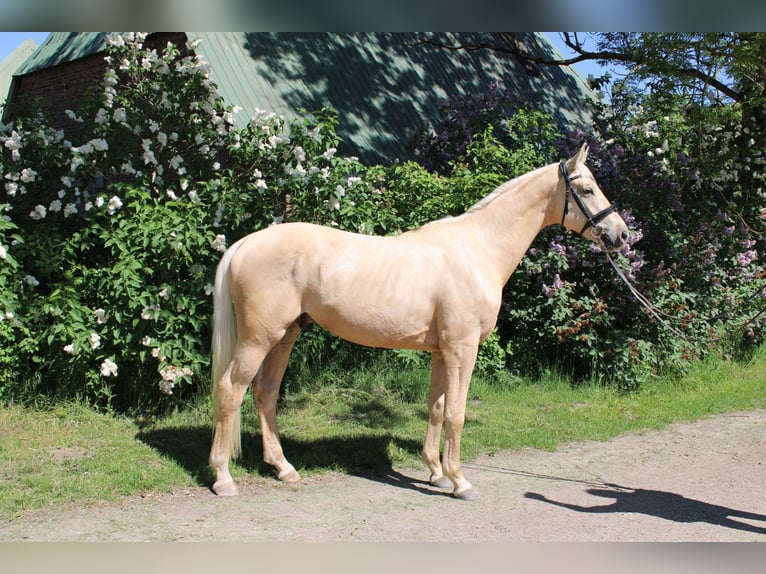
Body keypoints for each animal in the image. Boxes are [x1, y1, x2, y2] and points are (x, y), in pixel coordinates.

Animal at [208, 143, 629, 500]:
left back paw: (284, 468)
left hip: (284, 335)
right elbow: (457, 413)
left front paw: (436, 473)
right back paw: (224, 478)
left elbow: (437, 408)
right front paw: (460, 481)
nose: (622, 235)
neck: (478, 249)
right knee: (230, 390)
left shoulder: (442, 351)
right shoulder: (462, 349)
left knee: (265, 393)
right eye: (587, 189)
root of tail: (245, 243)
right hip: (258, 339)